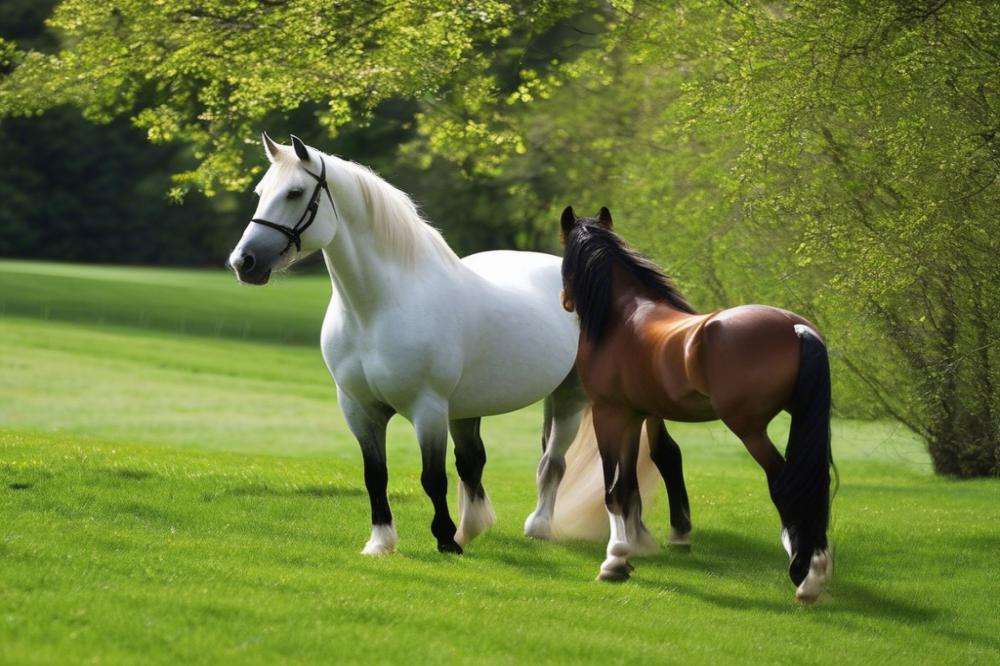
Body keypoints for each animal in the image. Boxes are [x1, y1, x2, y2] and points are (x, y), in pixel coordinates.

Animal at [230, 132, 628, 552]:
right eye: (260, 192)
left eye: (294, 192)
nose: (244, 262)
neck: (379, 309)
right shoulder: (359, 409)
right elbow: (376, 475)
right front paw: (381, 542)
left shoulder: (428, 409)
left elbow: (432, 476)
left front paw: (445, 541)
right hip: (471, 407)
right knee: (474, 461)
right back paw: (474, 526)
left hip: (569, 397)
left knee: (552, 462)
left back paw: (537, 527)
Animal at [560, 205, 832, 600]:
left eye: (564, 260)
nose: (565, 301)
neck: (621, 317)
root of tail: (796, 328)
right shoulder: (635, 415)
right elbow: (632, 482)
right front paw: (633, 552)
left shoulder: (608, 414)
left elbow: (613, 490)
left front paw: (614, 562)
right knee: (814, 483)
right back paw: (818, 566)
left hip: (749, 430)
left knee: (787, 484)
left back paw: (805, 573)